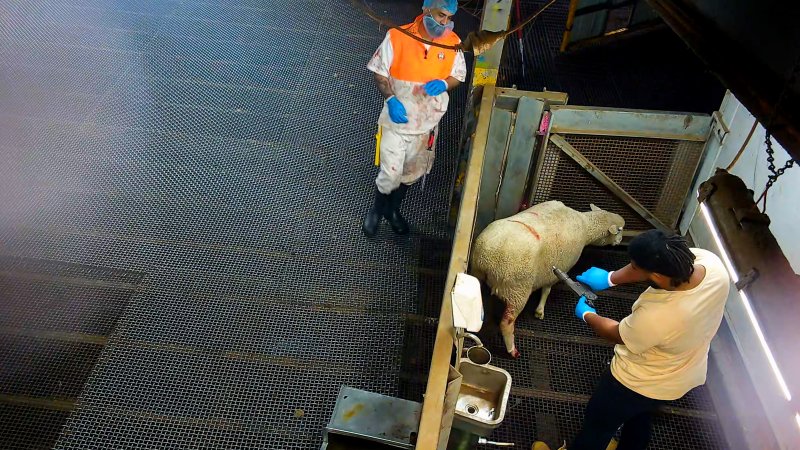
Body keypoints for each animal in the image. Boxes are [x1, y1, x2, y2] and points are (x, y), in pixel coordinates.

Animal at [468, 201, 624, 358]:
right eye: (620, 230)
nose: (620, 242)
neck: (585, 225)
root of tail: (490, 256)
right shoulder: (556, 270)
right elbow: (547, 290)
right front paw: (540, 310)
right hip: (517, 291)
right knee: (506, 323)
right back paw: (512, 350)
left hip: (477, 274)